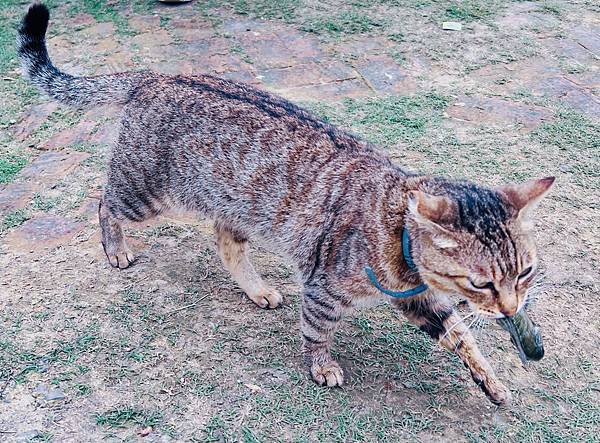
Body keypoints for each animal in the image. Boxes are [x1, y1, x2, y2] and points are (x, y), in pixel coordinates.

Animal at [17, 3, 552, 406]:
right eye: (483, 283)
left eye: (525, 273)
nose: (513, 307)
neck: (398, 230)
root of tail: (156, 77)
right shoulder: (324, 288)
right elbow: (317, 331)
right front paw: (322, 365)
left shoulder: (421, 300)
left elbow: (463, 337)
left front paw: (491, 381)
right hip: (145, 192)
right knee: (104, 201)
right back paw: (115, 247)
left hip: (235, 208)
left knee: (225, 243)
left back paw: (256, 289)